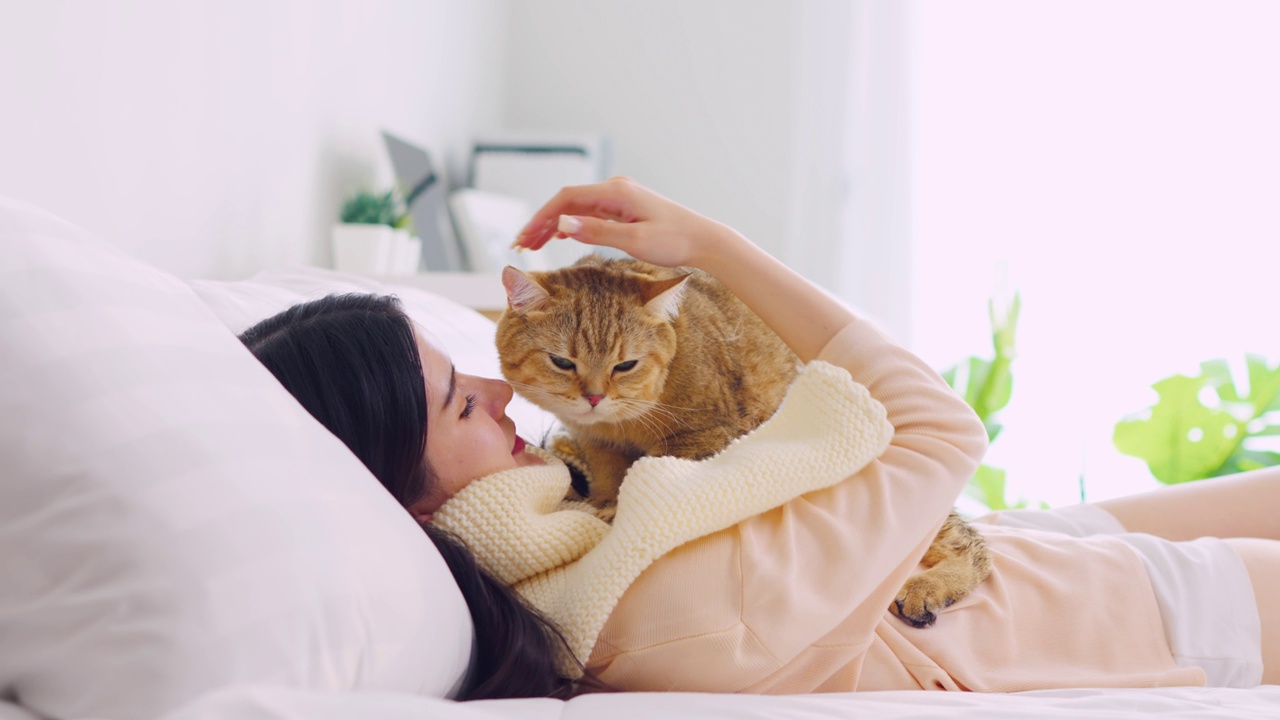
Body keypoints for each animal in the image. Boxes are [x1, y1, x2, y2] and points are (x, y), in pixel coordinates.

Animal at [496, 253, 988, 622]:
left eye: (625, 365)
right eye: (562, 362)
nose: (595, 397)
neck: (620, 424)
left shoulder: (704, 435)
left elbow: (647, 478)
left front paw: (613, 509)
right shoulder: (597, 445)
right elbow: (607, 479)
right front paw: (602, 502)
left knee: (973, 548)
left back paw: (930, 586)